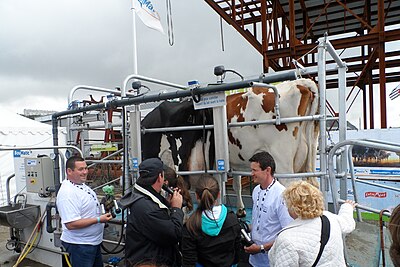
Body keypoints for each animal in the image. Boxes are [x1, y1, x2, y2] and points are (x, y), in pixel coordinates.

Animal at [141, 78, 318, 217]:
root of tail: (300, 84)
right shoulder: (231, 161)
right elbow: (234, 184)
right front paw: (239, 210)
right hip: (306, 157)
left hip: (283, 161)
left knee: (291, 187)